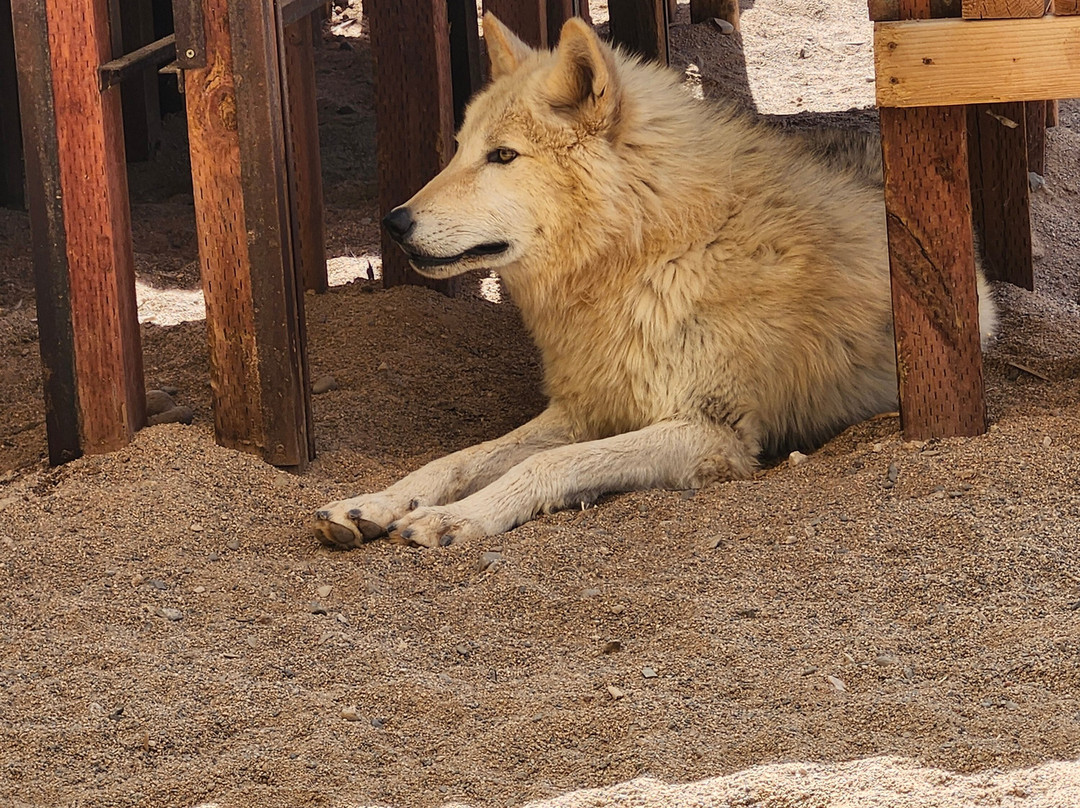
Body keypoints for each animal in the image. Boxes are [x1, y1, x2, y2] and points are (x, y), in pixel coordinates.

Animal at [313, 14, 996, 549]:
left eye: (502, 156)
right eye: (457, 149)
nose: (395, 222)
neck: (653, 253)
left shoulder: (710, 432)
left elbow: (544, 465)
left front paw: (458, 517)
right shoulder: (586, 408)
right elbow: (458, 459)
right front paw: (378, 503)